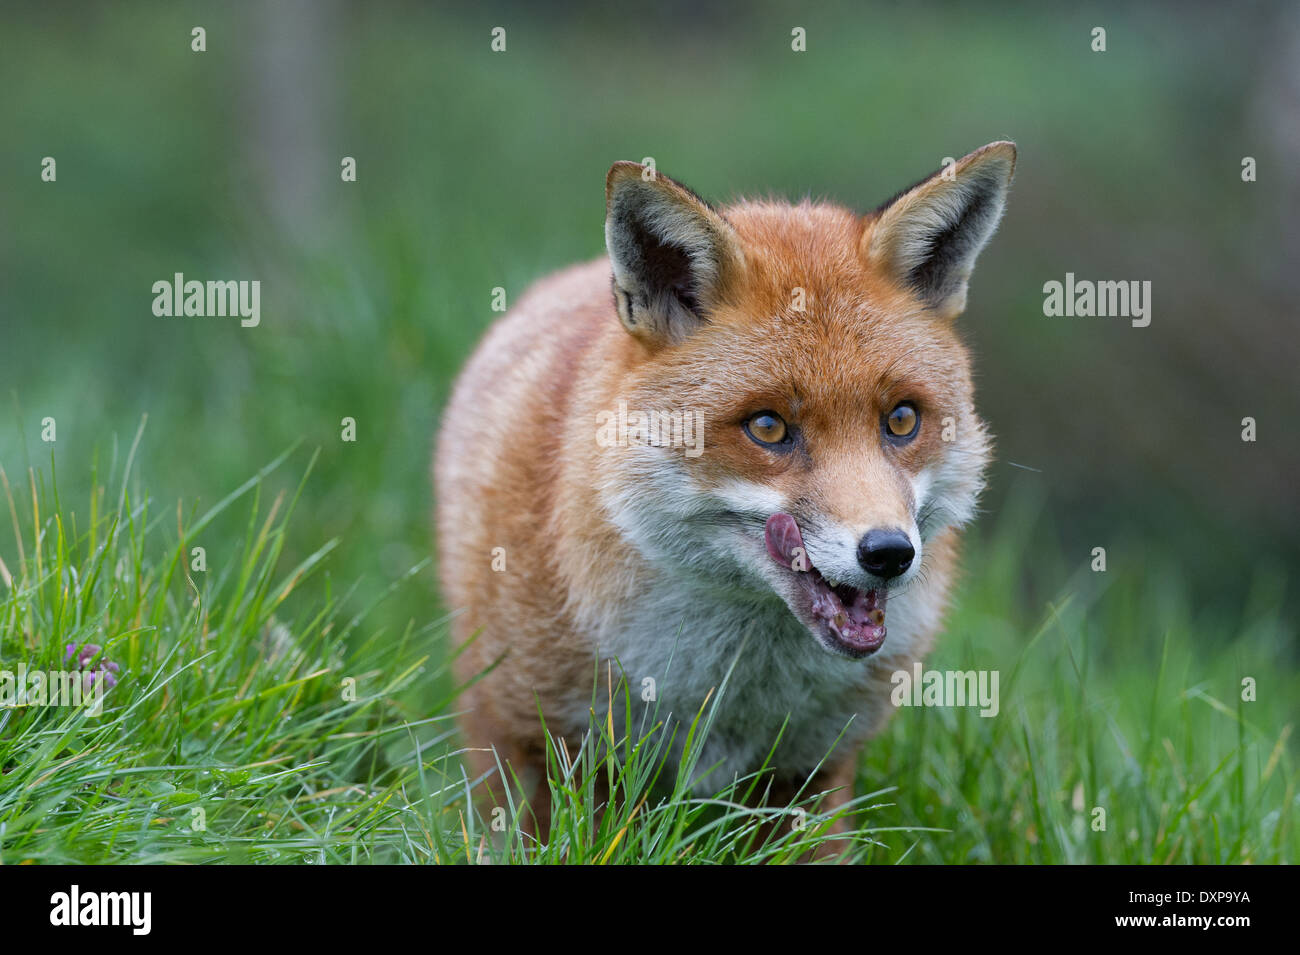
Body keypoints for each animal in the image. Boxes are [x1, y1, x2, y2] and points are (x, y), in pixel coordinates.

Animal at [436, 138, 1013, 841]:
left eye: (902, 419)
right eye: (768, 427)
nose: (889, 554)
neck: (733, 688)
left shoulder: (813, 769)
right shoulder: (528, 737)